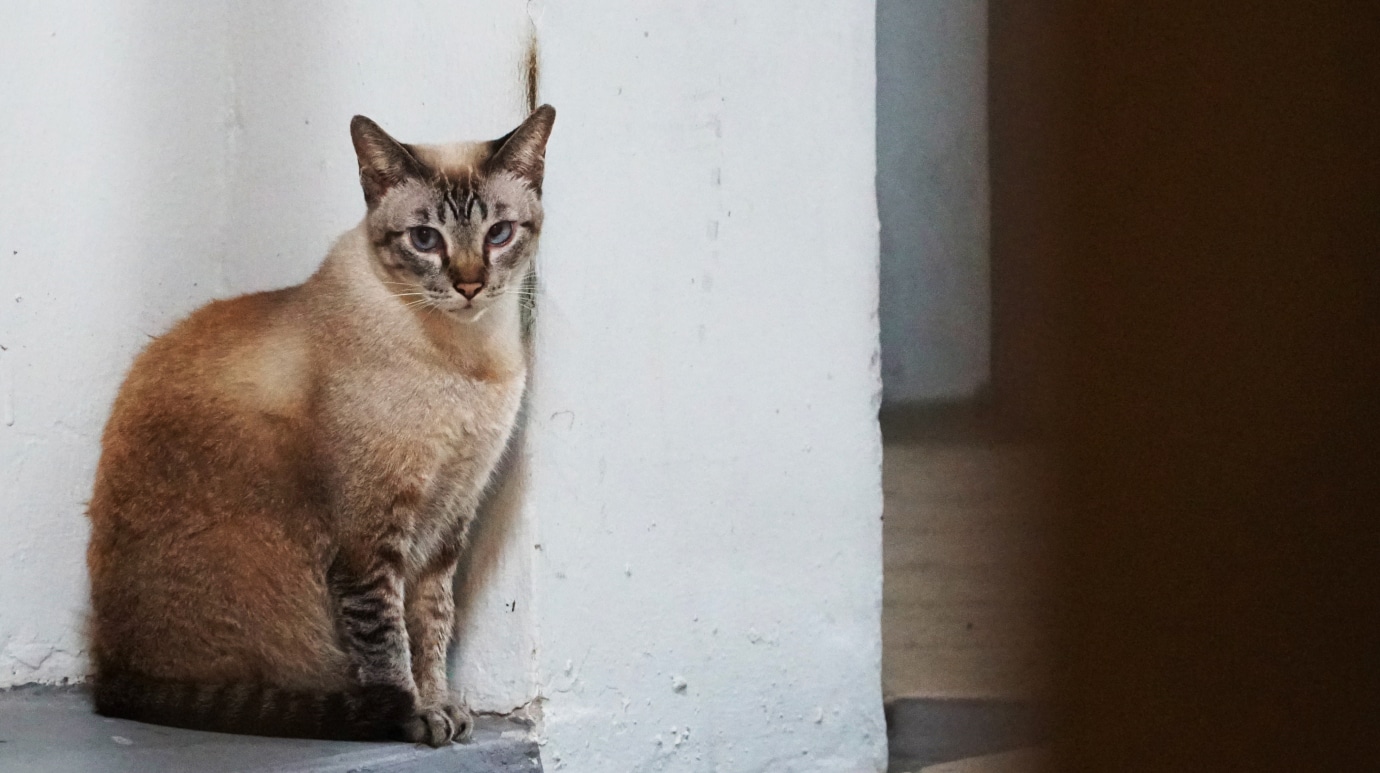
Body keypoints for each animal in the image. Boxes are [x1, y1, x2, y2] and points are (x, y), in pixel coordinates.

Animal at [82, 105, 549, 745]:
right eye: (425, 240)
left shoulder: (447, 524)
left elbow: (432, 628)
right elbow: (388, 645)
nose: (470, 285)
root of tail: (110, 671)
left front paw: (441, 709)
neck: (467, 360)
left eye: (498, 234)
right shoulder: (370, 538)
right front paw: (414, 718)